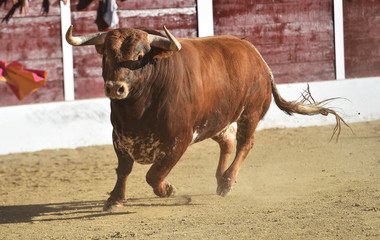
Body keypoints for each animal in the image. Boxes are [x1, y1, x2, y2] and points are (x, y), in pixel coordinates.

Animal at [66, 25, 348, 211]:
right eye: (106, 55)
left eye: (139, 56)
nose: (115, 88)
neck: (138, 108)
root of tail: (257, 57)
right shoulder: (120, 137)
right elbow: (123, 169)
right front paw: (114, 200)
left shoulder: (178, 140)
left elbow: (154, 175)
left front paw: (169, 190)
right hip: (217, 120)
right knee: (228, 141)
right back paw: (220, 178)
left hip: (250, 113)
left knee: (245, 143)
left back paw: (227, 182)